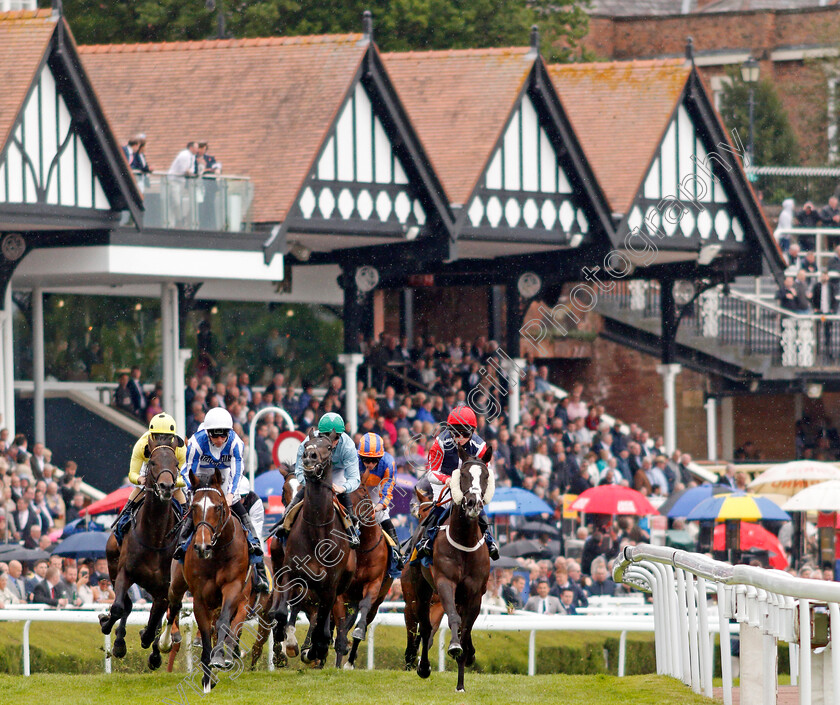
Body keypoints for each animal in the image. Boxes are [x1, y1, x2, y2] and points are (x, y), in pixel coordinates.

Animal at [101, 442, 181, 668]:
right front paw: (107, 626)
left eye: (176, 463)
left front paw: (151, 644)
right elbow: (118, 607)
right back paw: (119, 639)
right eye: (152, 462)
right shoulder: (124, 572)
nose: (166, 487)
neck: (155, 537)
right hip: (112, 565)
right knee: (127, 606)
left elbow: (156, 619)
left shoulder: (165, 587)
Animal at [158, 464, 249, 692]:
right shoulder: (199, 596)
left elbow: (223, 623)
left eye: (218, 507)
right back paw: (165, 642)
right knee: (174, 606)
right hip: (177, 583)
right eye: (194, 508)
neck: (218, 553)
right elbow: (206, 635)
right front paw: (207, 680)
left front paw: (218, 659)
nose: (201, 546)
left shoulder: (233, 587)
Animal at [268, 428, 356, 664]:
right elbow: (281, 613)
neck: (317, 530)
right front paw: (286, 642)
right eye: (307, 445)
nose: (309, 457)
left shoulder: (330, 585)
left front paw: (315, 650)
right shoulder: (290, 572)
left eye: (329, 447)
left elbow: (322, 628)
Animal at [334, 478, 394, 664]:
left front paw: (358, 632)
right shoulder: (341, 593)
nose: (351, 516)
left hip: (378, 602)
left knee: (365, 617)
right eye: (341, 496)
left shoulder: (373, 583)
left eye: (363, 495)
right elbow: (339, 627)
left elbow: (364, 607)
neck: (363, 549)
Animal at [406, 446, 492, 692]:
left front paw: (461, 683)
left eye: (486, 476)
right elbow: (453, 620)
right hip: (420, 589)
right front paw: (453, 646)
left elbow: (466, 630)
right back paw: (423, 667)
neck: (463, 540)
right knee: (425, 628)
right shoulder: (445, 582)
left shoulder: (475, 593)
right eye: (462, 474)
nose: (473, 503)